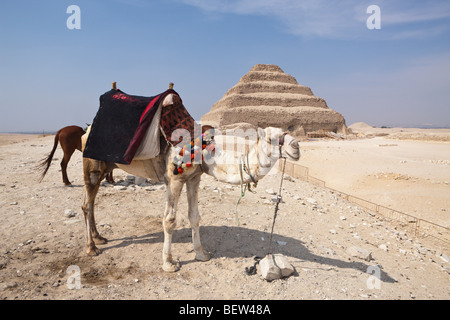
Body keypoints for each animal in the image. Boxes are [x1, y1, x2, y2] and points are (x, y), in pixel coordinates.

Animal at [81, 116, 298, 272]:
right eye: (271, 138)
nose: (296, 147)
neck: (205, 151)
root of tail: (86, 131)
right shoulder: (174, 179)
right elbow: (169, 220)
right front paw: (169, 263)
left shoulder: (194, 178)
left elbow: (194, 217)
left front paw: (202, 255)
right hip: (92, 164)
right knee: (86, 204)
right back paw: (91, 248)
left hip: (105, 166)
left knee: (91, 202)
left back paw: (99, 238)